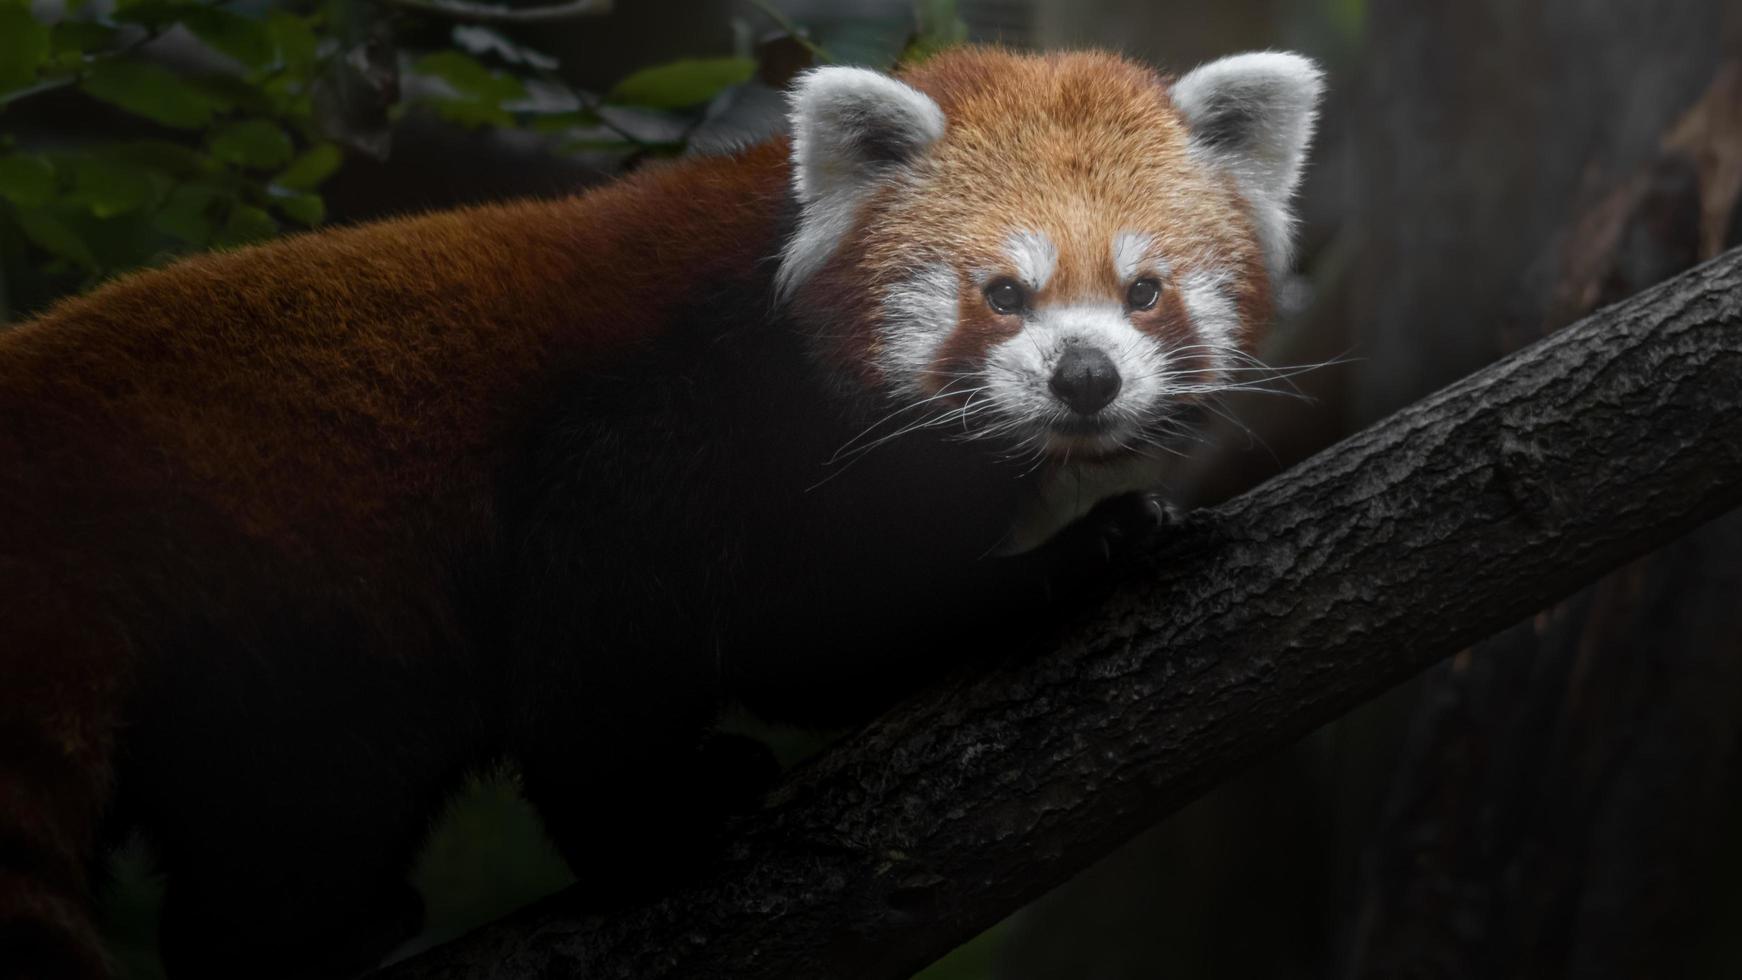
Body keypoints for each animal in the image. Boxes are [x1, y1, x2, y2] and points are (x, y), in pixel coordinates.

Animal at [0, 47, 1309, 980]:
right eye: (1001, 292)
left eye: (1142, 291)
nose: (1084, 377)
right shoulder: (650, 423)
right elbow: (597, 663)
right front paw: (645, 827)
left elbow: (833, 635)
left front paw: (1082, 550)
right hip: (286, 595)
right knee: (307, 803)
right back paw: (321, 932)